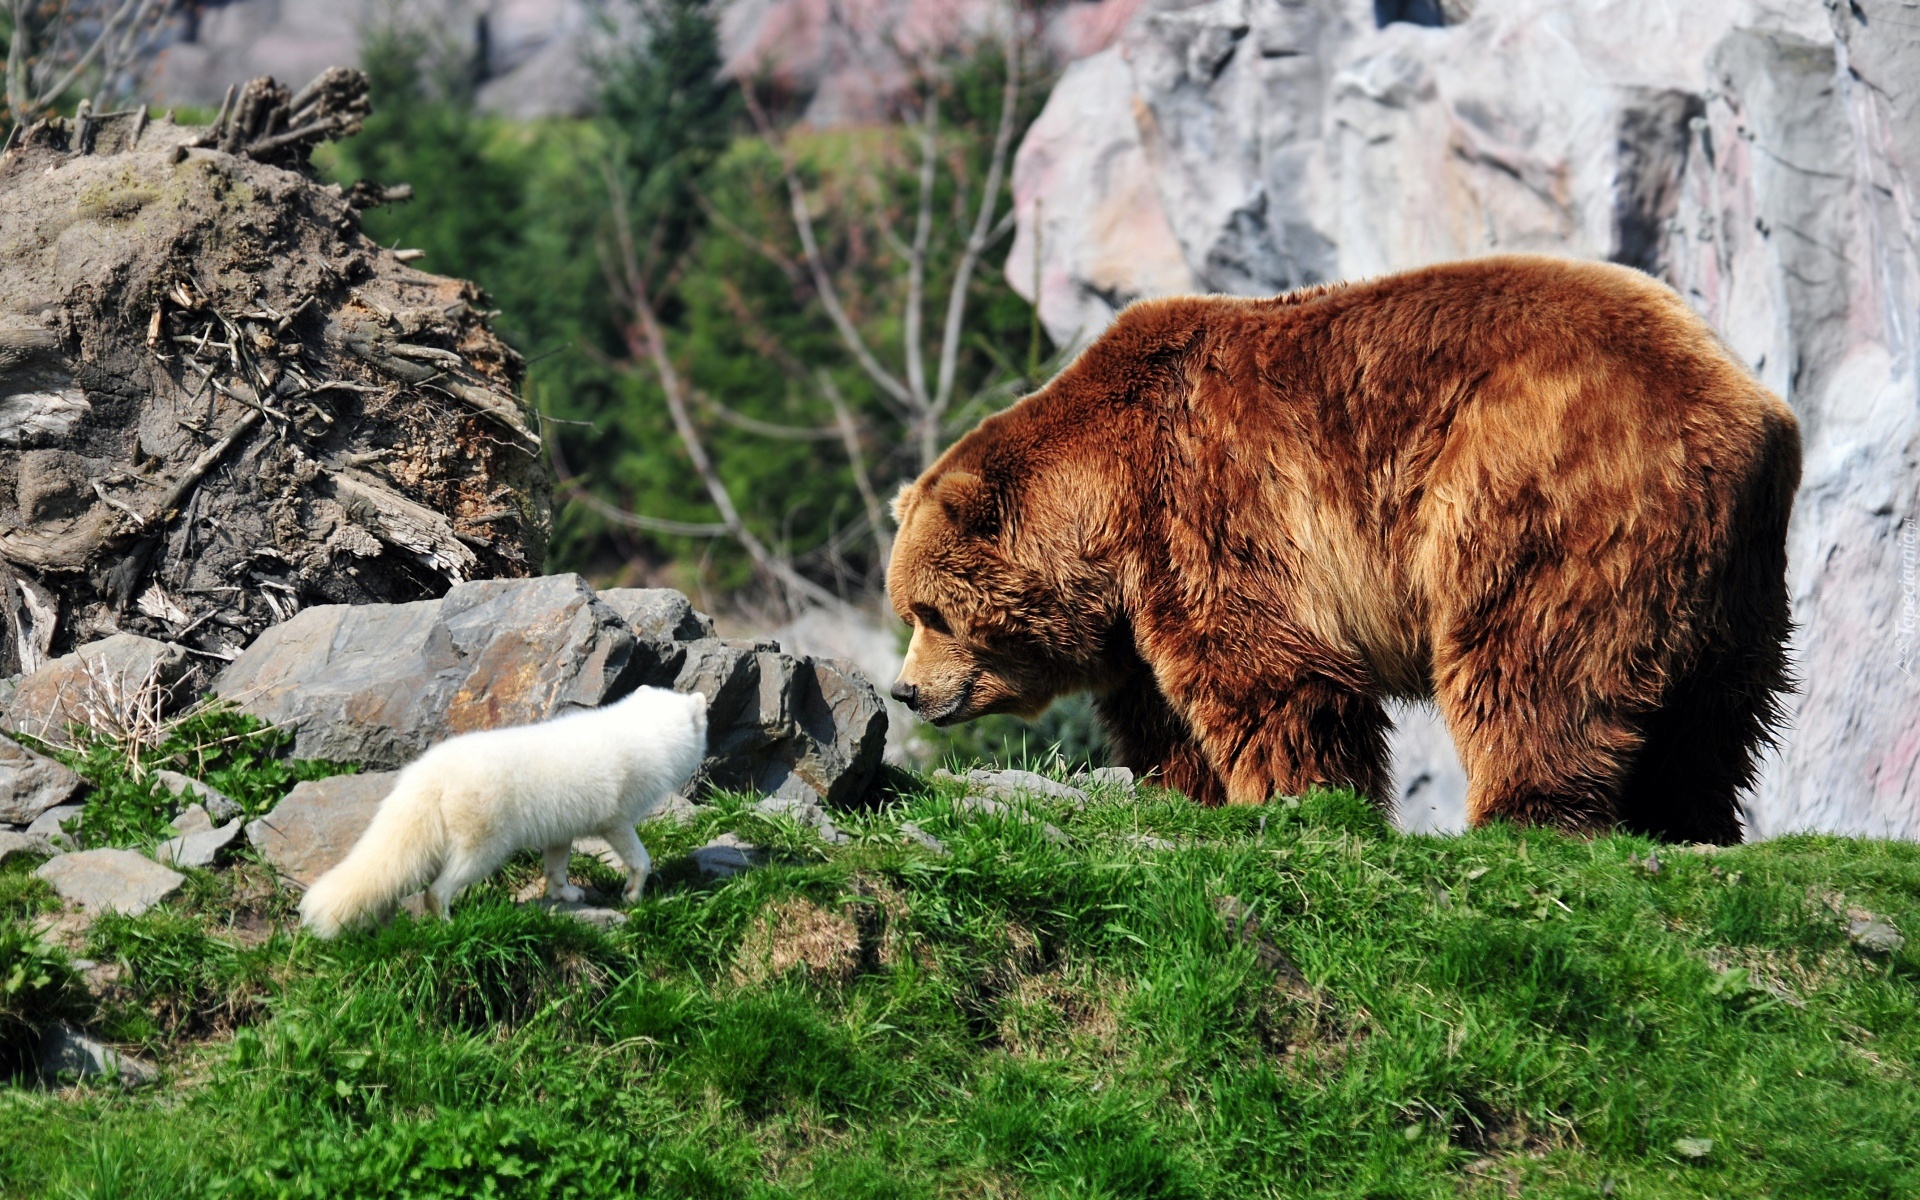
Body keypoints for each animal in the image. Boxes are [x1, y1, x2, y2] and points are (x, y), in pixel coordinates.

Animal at [303, 683, 710, 936]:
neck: (647, 733)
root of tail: (428, 773)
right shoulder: (616, 821)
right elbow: (641, 859)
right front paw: (633, 894)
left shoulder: (560, 830)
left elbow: (555, 868)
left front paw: (566, 896)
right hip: (484, 847)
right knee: (437, 890)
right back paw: (449, 926)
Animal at [883, 253, 1797, 837]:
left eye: (931, 613)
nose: (906, 693)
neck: (1105, 506)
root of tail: (1742, 403)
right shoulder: (1137, 611)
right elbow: (1162, 716)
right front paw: (1187, 791)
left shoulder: (1207, 502)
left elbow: (1269, 671)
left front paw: (1297, 797)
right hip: (1737, 570)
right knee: (1718, 709)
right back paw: (1691, 819)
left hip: (1538, 481)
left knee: (1529, 657)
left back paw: (1523, 812)